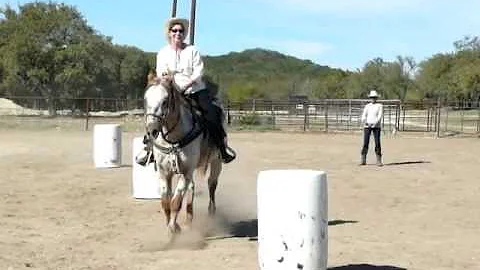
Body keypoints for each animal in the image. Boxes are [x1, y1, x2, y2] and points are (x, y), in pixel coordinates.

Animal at [143, 77, 224, 237]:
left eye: (165, 101)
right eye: (146, 99)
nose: (151, 131)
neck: (174, 139)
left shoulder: (185, 172)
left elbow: (175, 202)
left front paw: (173, 229)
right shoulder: (164, 172)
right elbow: (165, 203)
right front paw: (172, 225)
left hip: (216, 162)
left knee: (212, 184)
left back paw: (211, 212)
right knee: (192, 187)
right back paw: (189, 219)